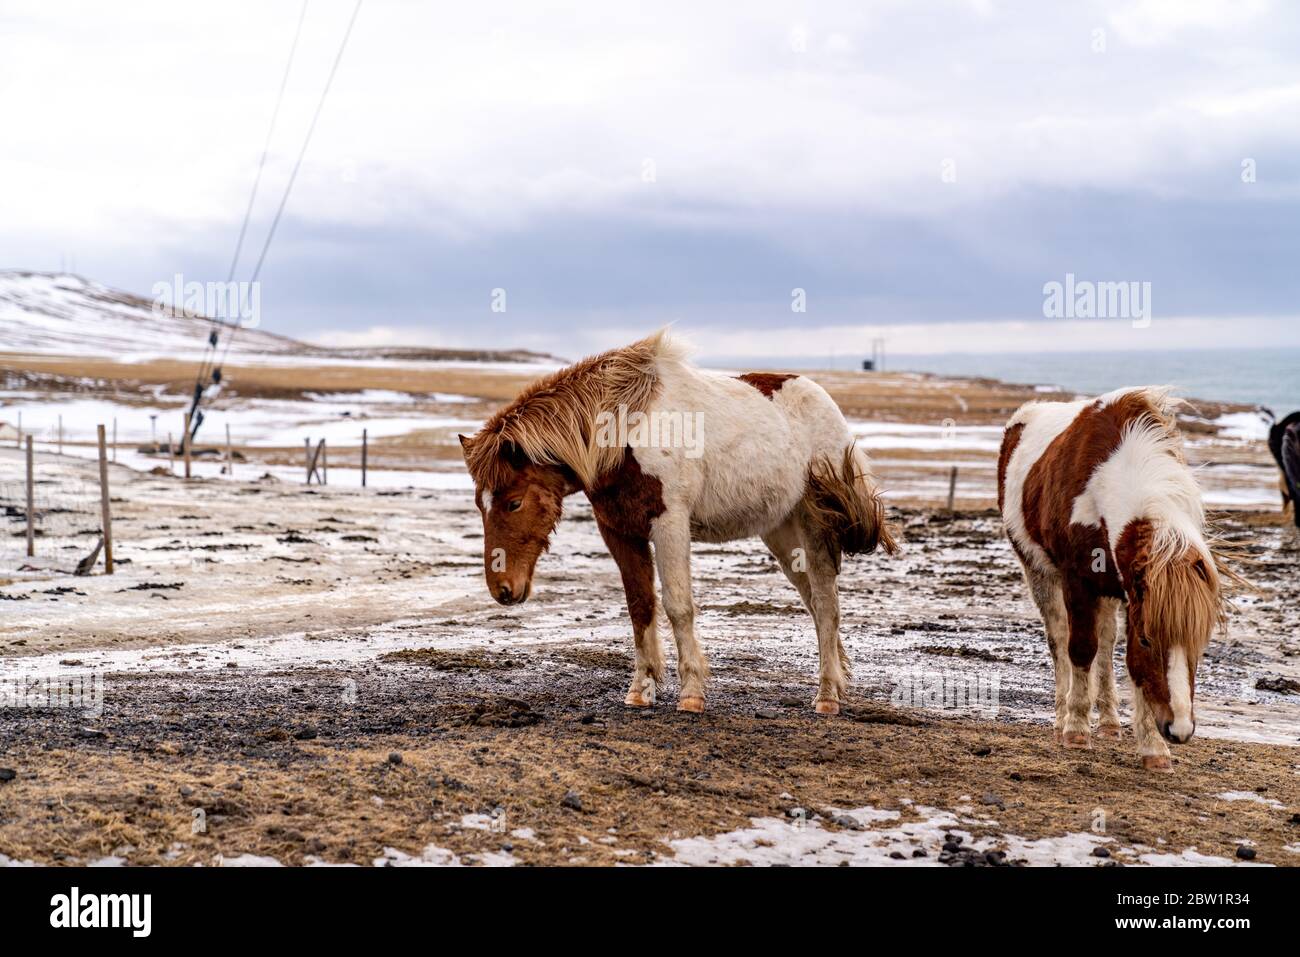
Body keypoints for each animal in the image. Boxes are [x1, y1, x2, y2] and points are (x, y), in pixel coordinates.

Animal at [454, 328, 894, 712]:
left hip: (814, 526)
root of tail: (827, 405)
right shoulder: (617, 529)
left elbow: (678, 606)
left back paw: (827, 696)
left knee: (825, 603)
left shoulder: (669, 524)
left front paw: (692, 694)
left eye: (513, 503)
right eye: (479, 504)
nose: (503, 589)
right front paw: (640, 690)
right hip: (781, 533)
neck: (625, 432)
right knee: (815, 602)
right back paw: (838, 681)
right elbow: (640, 605)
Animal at [998, 390, 1232, 769]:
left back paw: (1109, 722)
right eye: (1149, 640)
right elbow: (1080, 648)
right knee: (1059, 640)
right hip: (1039, 572)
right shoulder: (1077, 582)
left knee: (1106, 646)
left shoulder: (1132, 593)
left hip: (1109, 591)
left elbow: (1125, 662)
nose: (1179, 730)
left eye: (1199, 643)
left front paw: (1153, 747)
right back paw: (1061, 719)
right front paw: (1076, 730)